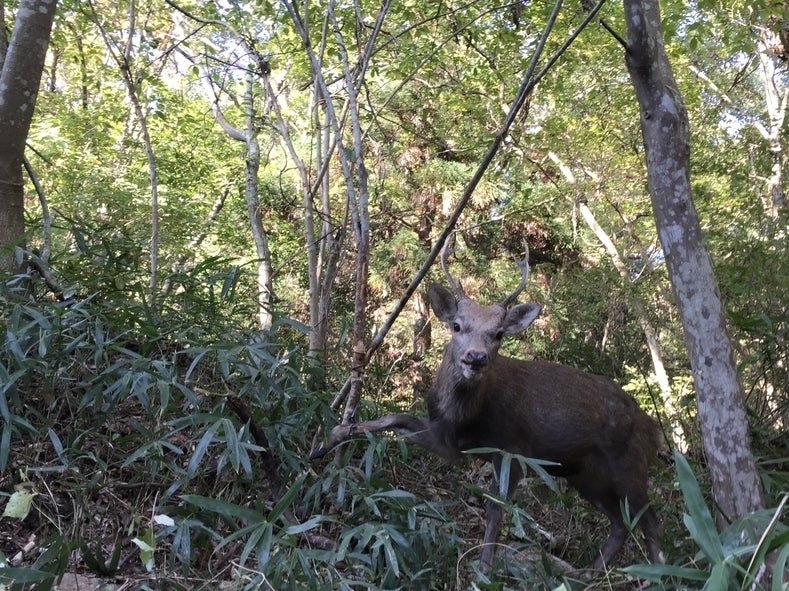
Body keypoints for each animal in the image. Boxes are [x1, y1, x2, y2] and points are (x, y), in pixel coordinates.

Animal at [311, 242, 664, 571]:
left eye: (498, 334)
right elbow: (392, 417)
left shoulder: (513, 448)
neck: (465, 416)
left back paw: (656, 572)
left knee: (649, 520)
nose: (475, 358)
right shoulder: (447, 439)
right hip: (583, 473)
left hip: (628, 463)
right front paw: (328, 440)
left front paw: (483, 567)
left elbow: (496, 508)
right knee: (621, 521)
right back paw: (590, 573)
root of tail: (654, 428)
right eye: (456, 326)